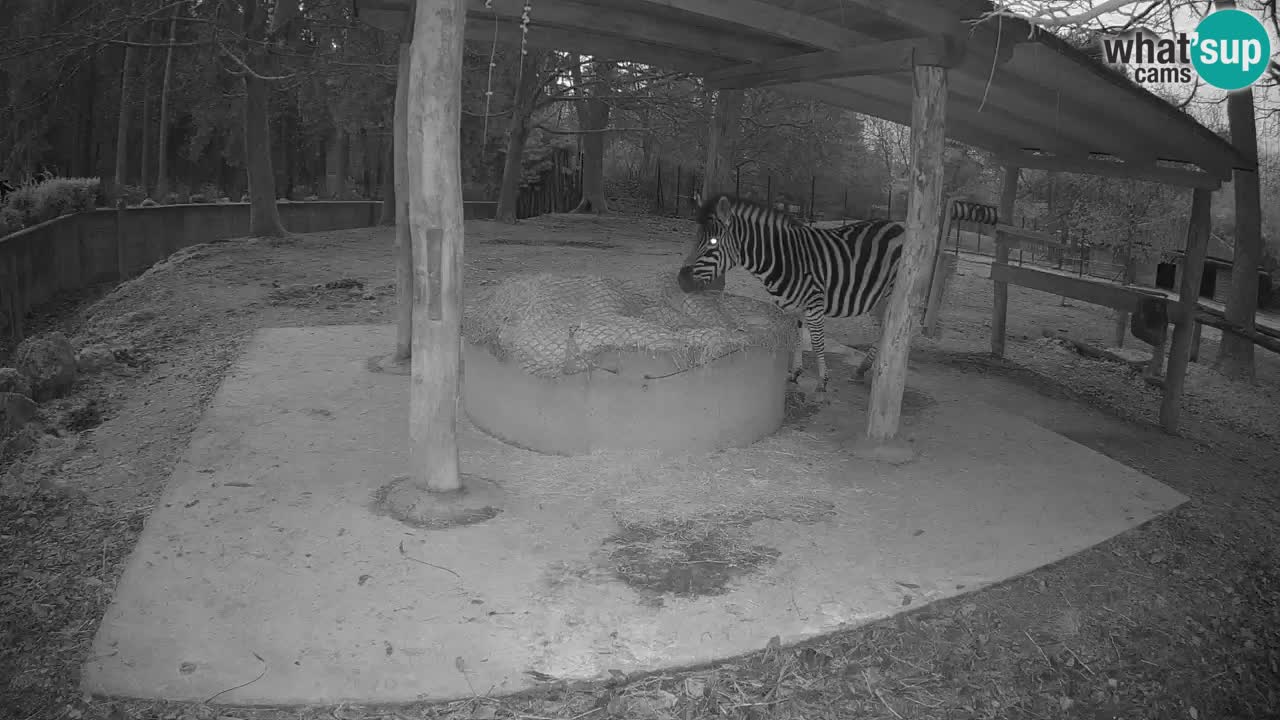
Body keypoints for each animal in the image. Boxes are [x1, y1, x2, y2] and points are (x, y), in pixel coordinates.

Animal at [677, 192, 907, 395]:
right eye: (695, 239)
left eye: (713, 242)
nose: (681, 281)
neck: (784, 260)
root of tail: (898, 225)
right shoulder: (793, 306)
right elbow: (796, 337)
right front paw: (795, 372)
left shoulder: (814, 303)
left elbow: (817, 341)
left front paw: (822, 381)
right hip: (880, 299)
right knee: (884, 332)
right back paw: (863, 369)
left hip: (891, 294)